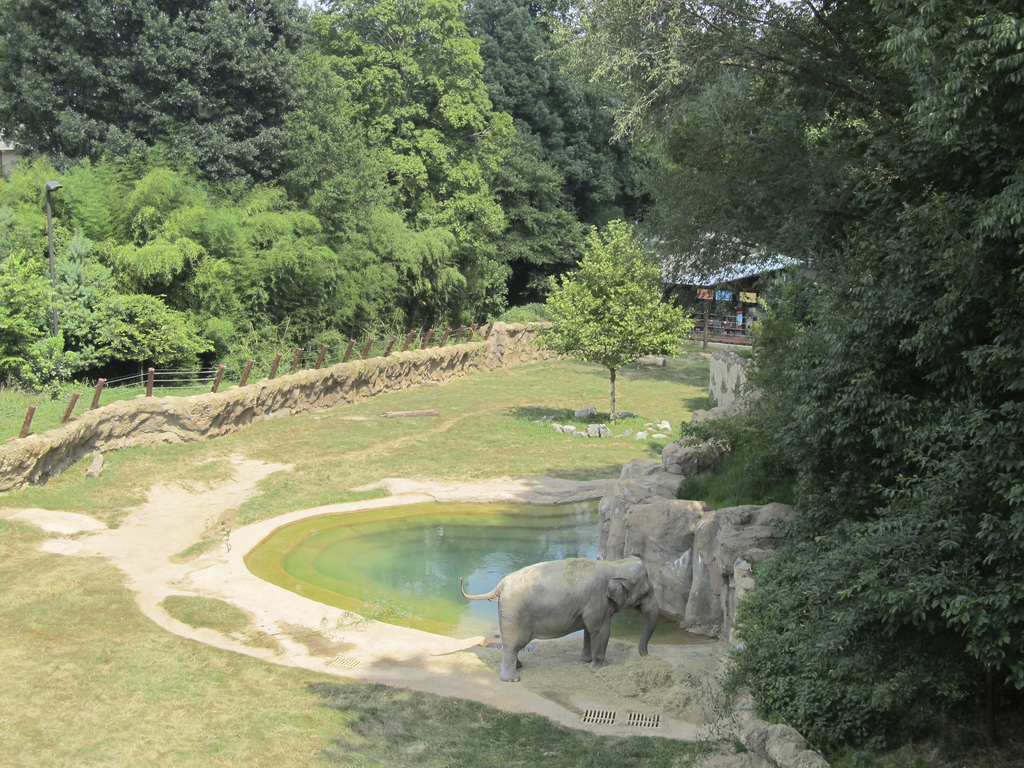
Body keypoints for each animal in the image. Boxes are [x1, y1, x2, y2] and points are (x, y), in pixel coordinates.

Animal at [460, 556, 659, 682]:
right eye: (644, 593)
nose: (647, 656)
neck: (613, 564)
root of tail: (500, 586)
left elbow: (588, 630)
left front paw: (586, 660)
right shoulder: (597, 600)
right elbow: (600, 630)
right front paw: (599, 669)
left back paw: (520, 666)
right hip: (514, 614)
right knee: (513, 645)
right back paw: (513, 679)